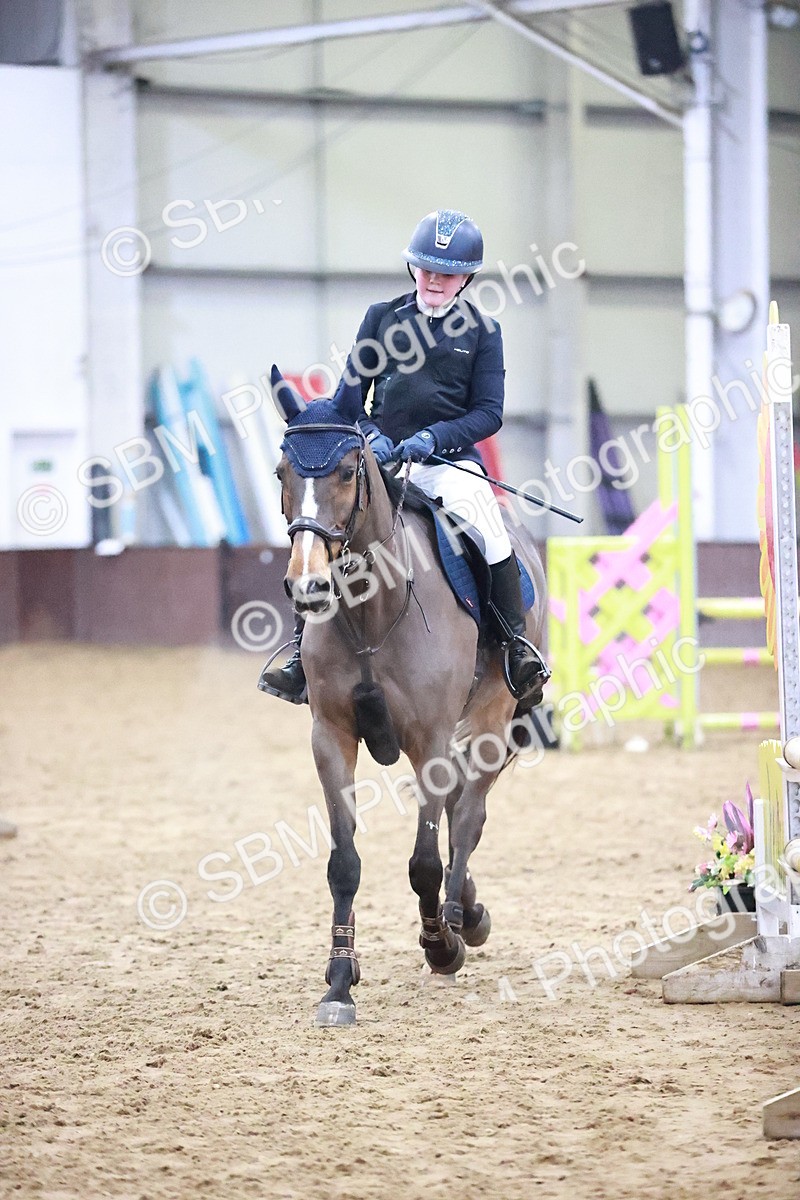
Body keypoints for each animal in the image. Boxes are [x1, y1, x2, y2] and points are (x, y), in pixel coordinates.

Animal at [269, 368, 547, 1026]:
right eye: (281, 472)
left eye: (349, 470)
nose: (307, 585)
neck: (372, 612)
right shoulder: (331, 738)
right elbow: (344, 863)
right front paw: (339, 983)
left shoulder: (432, 742)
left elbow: (424, 863)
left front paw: (440, 945)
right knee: (458, 814)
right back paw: (464, 906)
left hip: (494, 720)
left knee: (467, 818)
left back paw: (461, 919)